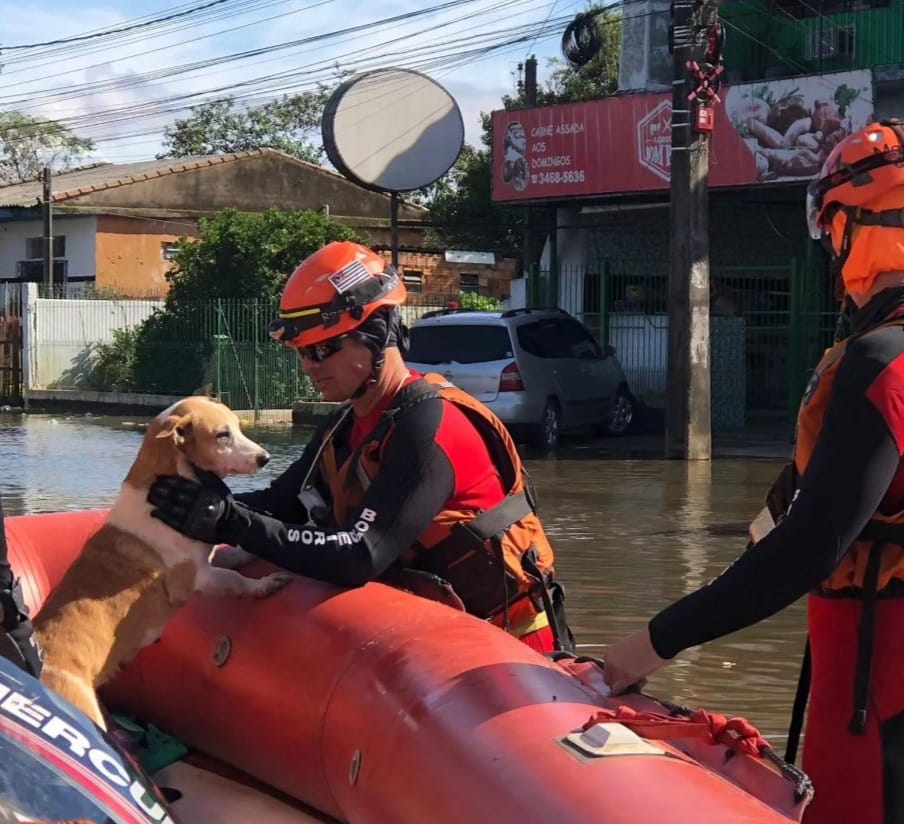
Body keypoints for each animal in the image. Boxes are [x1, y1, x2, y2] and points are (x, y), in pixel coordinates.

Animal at [33, 398, 290, 728]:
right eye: (222, 435)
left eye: (237, 425)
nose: (265, 458)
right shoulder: (198, 578)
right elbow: (236, 580)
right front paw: (265, 585)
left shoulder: (205, 559)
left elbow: (231, 555)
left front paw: (253, 554)